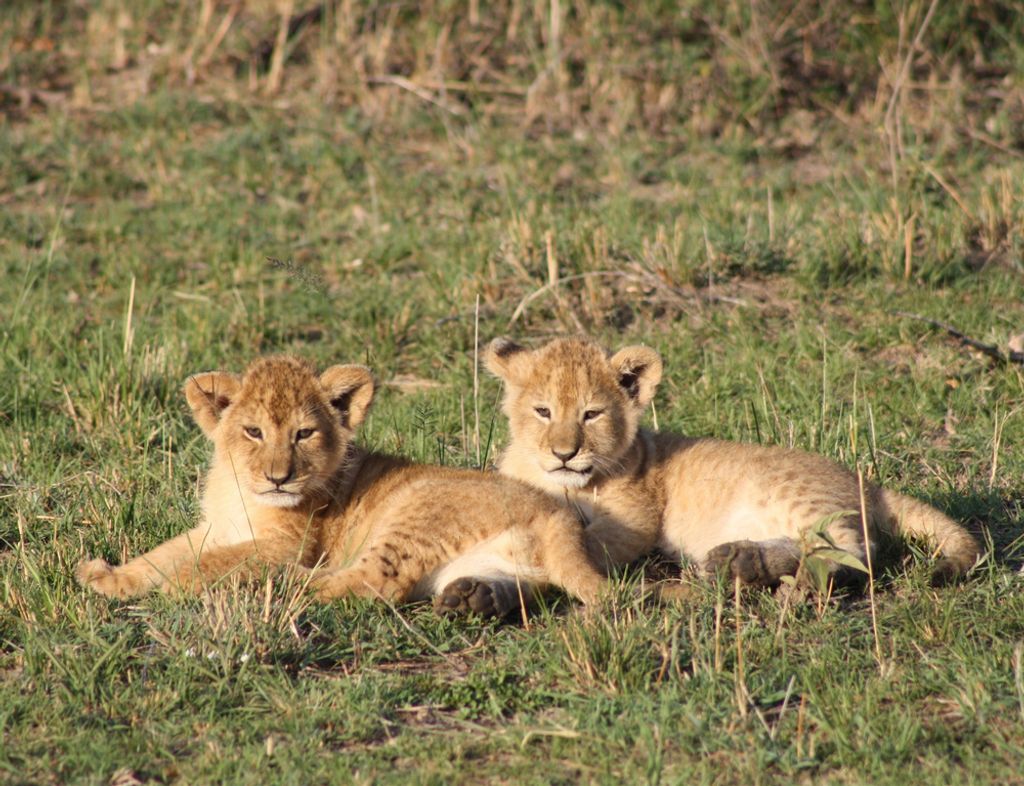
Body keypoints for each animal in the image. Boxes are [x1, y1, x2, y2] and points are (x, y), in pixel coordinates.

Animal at [76, 355, 606, 617]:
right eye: (254, 432)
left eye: (304, 434)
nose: (279, 477)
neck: (239, 490)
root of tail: (557, 512)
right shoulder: (214, 529)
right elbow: (161, 554)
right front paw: (107, 577)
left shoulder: (287, 545)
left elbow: (206, 562)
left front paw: (179, 584)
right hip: (495, 562)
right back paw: (473, 598)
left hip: (414, 509)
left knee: (371, 582)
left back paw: (265, 590)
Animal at [475, 336, 981, 596]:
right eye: (543, 412)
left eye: (591, 414)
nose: (564, 453)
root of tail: (865, 481)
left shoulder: (636, 519)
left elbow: (584, 540)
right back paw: (742, 562)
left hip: (794, 495)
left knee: (859, 552)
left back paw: (794, 586)